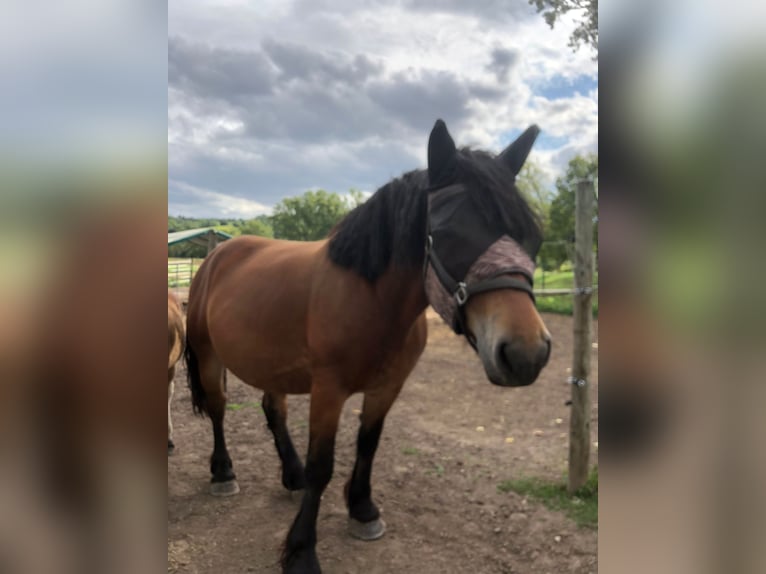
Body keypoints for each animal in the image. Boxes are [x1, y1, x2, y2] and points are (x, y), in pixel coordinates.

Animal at [183, 119, 548, 572]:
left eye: (532, 237)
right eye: (446, 233)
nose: (526, 353)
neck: (370, 297)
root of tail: (217, 256)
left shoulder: (387, 387)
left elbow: (368, 445)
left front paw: (362, 509)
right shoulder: (328, 390)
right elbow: (322, 465)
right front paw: (301, 550)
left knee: (273, 411)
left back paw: (290, 474)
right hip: (209, 357)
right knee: (218, 409)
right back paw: (223, 473)